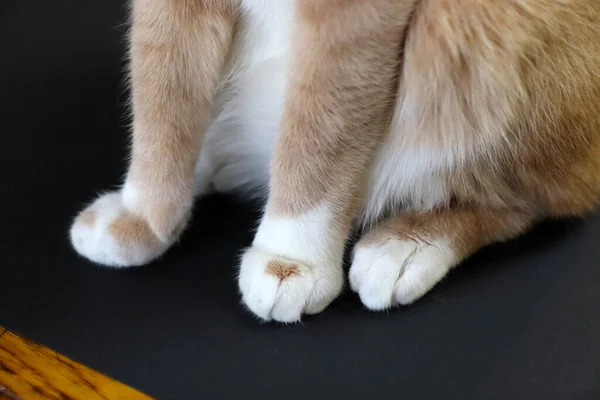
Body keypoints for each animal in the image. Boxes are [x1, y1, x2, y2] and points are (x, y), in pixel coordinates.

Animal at [69, 0, 600, 324]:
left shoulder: (350, 23)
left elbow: (319, 132)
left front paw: (291, 257)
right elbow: (162, 98)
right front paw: (141, 218)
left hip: (490, 36)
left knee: (526, 204)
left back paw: (407, 246)